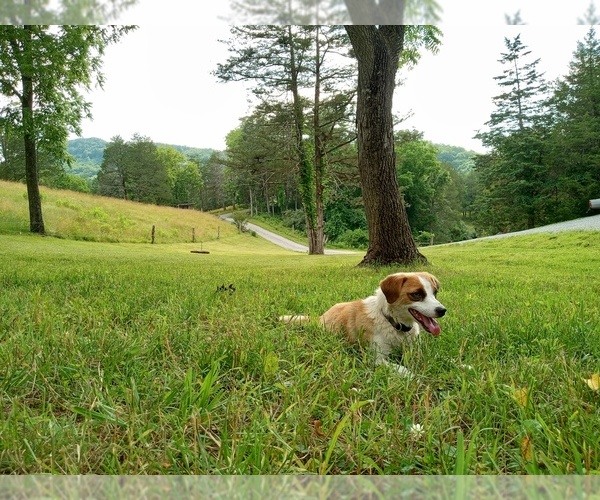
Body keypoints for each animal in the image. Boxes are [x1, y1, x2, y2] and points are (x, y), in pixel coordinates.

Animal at [282, 274, 446, 376]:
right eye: (416, 294)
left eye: (435, 293)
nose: (442, 310)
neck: (392, 322)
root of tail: (321, 317)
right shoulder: (377, 359)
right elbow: (402, 369)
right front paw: (415, 378)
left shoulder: (415, 350)